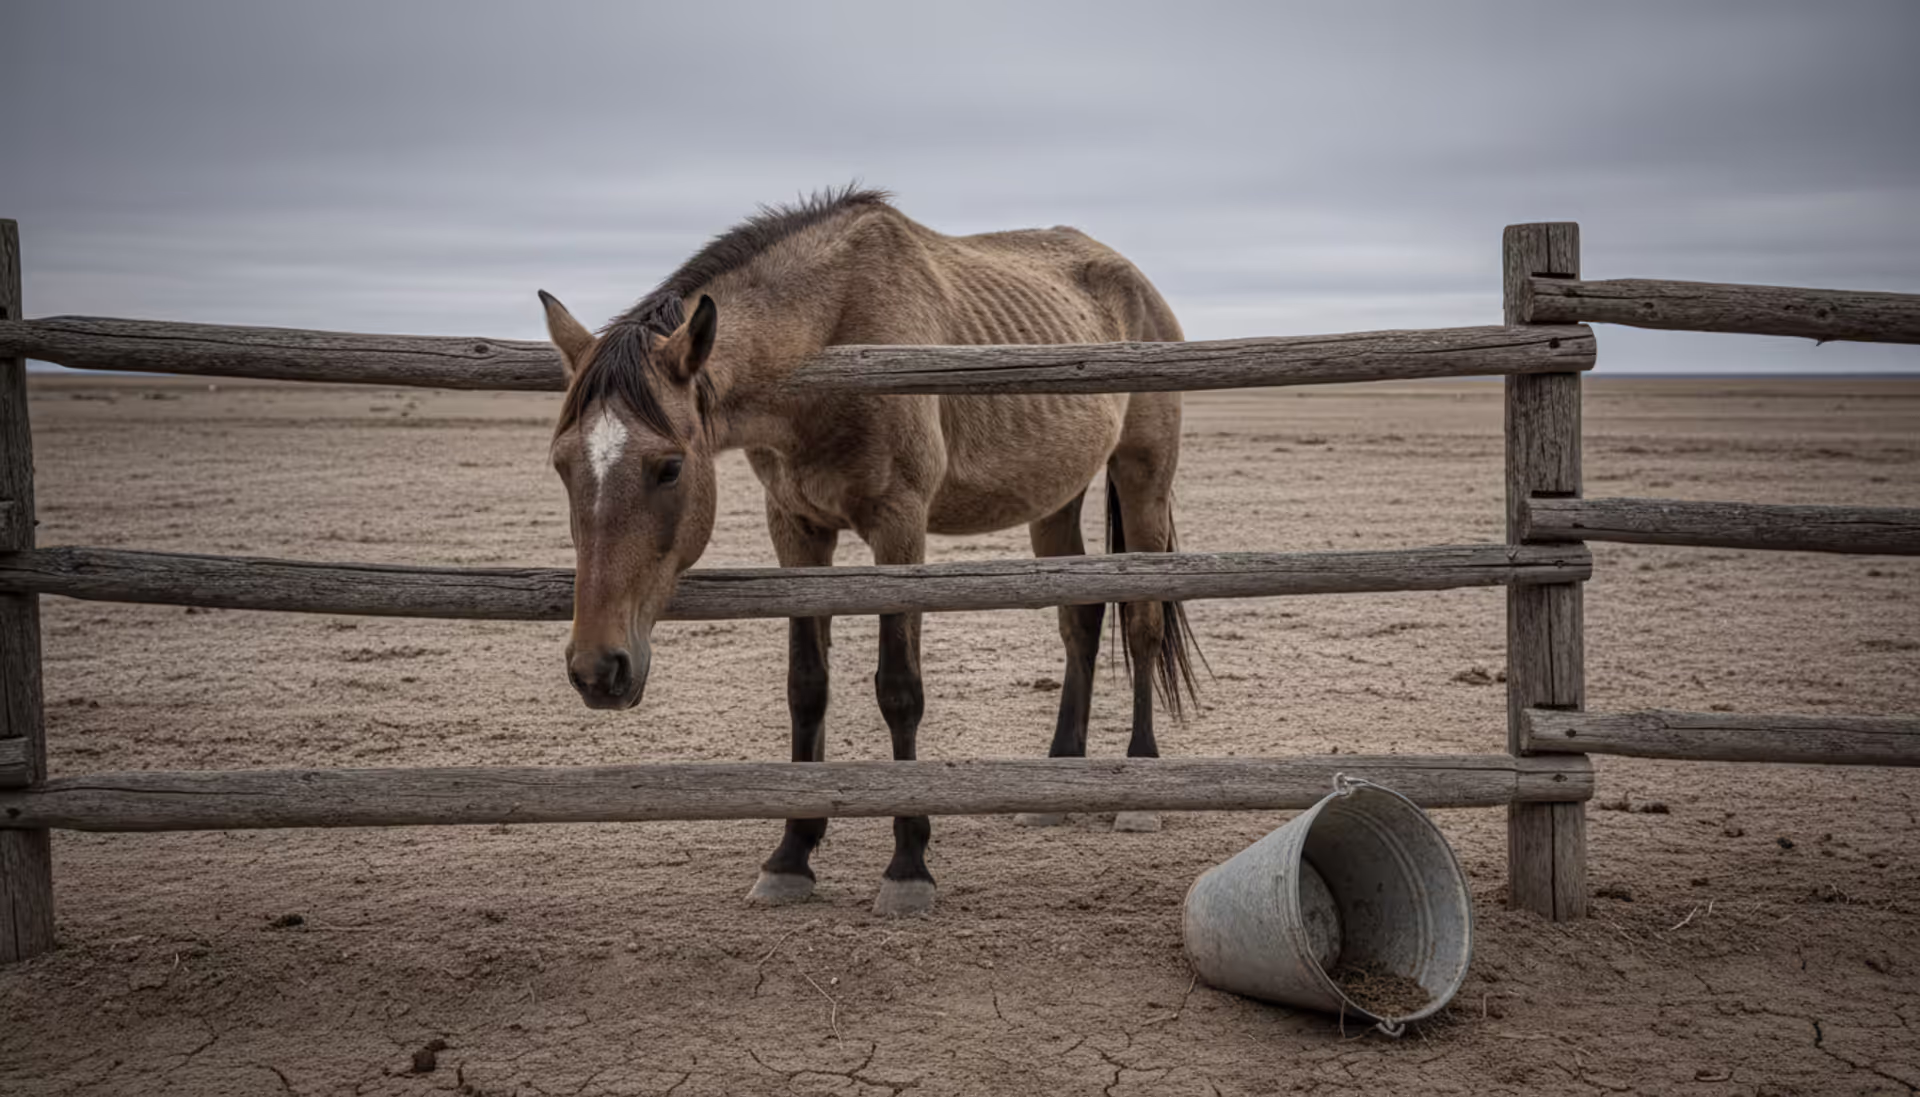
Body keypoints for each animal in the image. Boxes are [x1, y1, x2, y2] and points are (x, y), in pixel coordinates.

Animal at [540, 187, 1198, 916]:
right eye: (563, 465)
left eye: (669, 468)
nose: (597, 669)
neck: (833, 335)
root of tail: (1132, 277)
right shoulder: (796, 528)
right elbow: (807, 685)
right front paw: (792, 854)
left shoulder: (898, 527)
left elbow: (899, 688)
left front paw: (908, 864)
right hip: (1057, 496)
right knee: (1080, 619)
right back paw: (1057, 782)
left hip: (1143, 477)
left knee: (1142, 623)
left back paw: (1139, 784)